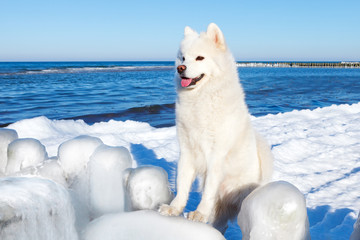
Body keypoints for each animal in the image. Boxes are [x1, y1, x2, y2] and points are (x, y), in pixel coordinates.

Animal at [159, 23, 274, 232]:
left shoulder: (216, 155)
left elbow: (208, 191)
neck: (200, 99)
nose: (180, 68)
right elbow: (182, 184)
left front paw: (199, 213)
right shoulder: (186, 151)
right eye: (183, 58)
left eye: (200, 58)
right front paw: (174, 208)